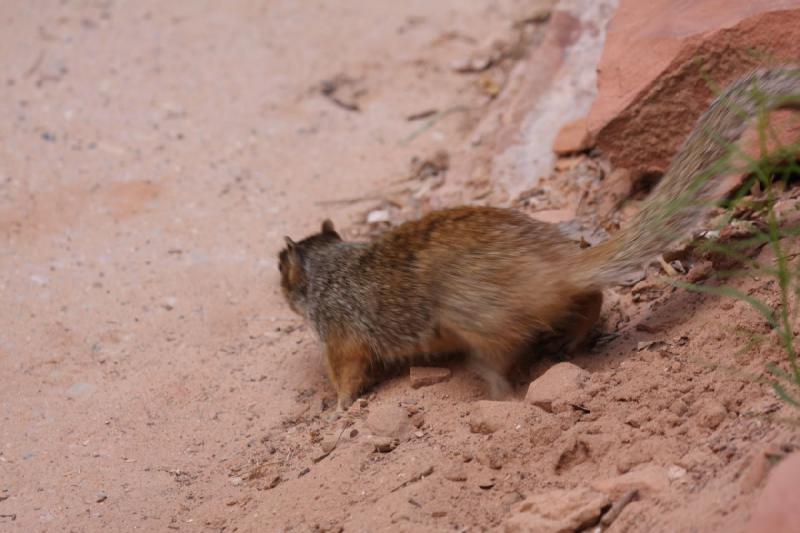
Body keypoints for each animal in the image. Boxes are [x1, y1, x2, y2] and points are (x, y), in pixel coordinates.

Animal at [280, 66, 800, 408]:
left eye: (280, 273)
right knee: (590, 300)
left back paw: (496, 388)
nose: (280, 291)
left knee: (506, 351)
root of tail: (556, 266)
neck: (329, 268)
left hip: (477, 320)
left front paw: (339, 407)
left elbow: (347, 375)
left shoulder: (337, 338)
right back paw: (570, 342)